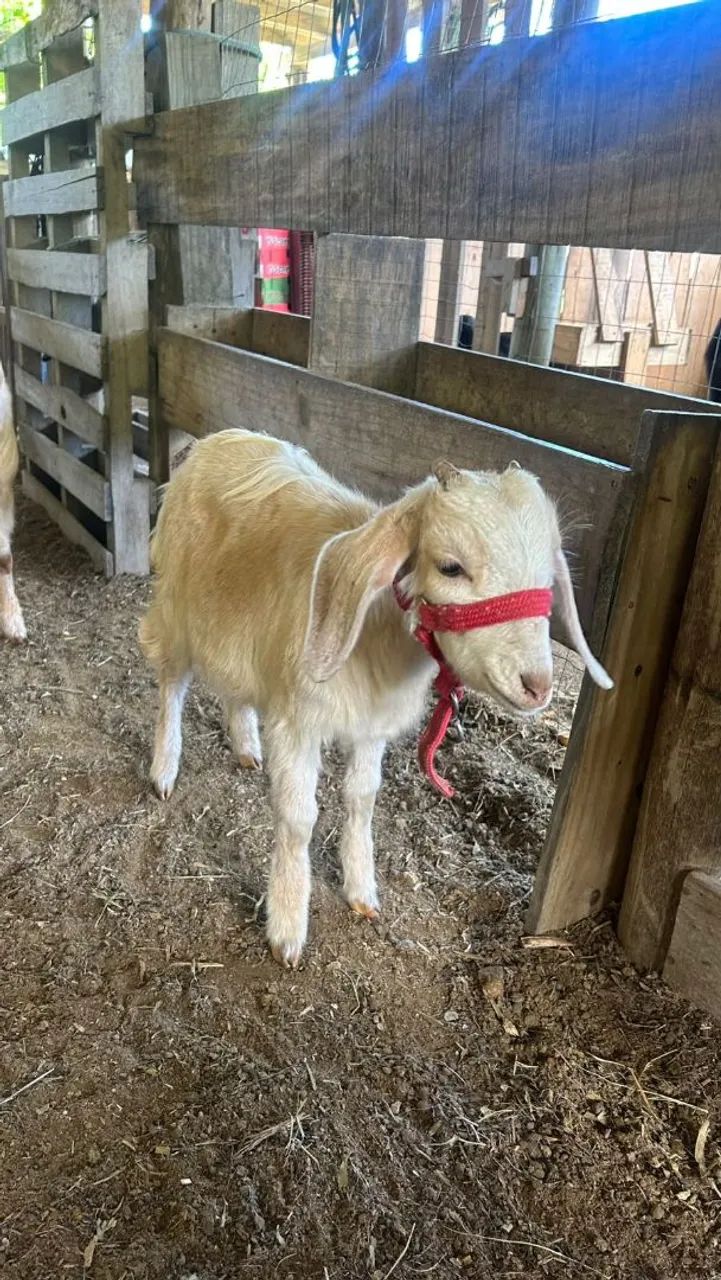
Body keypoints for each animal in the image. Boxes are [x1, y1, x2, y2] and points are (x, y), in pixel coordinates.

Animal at [140, 429, 611, 966]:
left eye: (548, 576)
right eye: (450, 567)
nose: (536, 685)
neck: (380, 629)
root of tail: (217, 439)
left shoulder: (371, 724)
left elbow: (362, 799)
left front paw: (362, 890)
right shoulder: (298, 722)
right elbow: (298, 819)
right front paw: (288, 927)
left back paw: (245, 746)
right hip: (176, 606)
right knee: (172, 685)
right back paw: (164, 770)